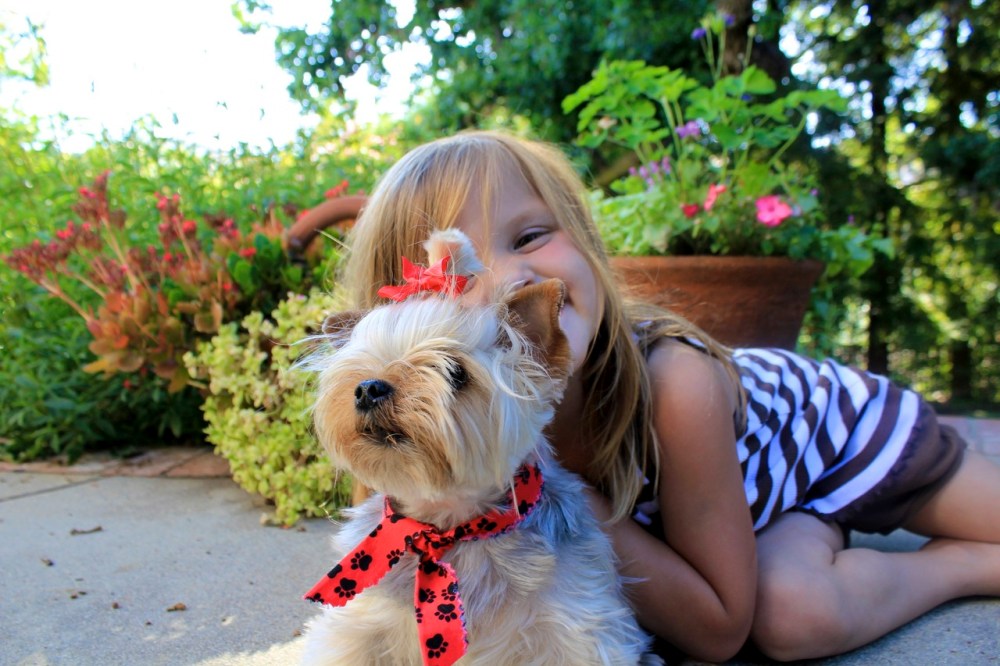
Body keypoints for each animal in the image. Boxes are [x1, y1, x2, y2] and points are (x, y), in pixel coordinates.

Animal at [301, 230, 660, 665]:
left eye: (457, 373)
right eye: (361, 366)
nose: (369, 388)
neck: (450, 527)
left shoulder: (580, 629)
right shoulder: (360, 626)